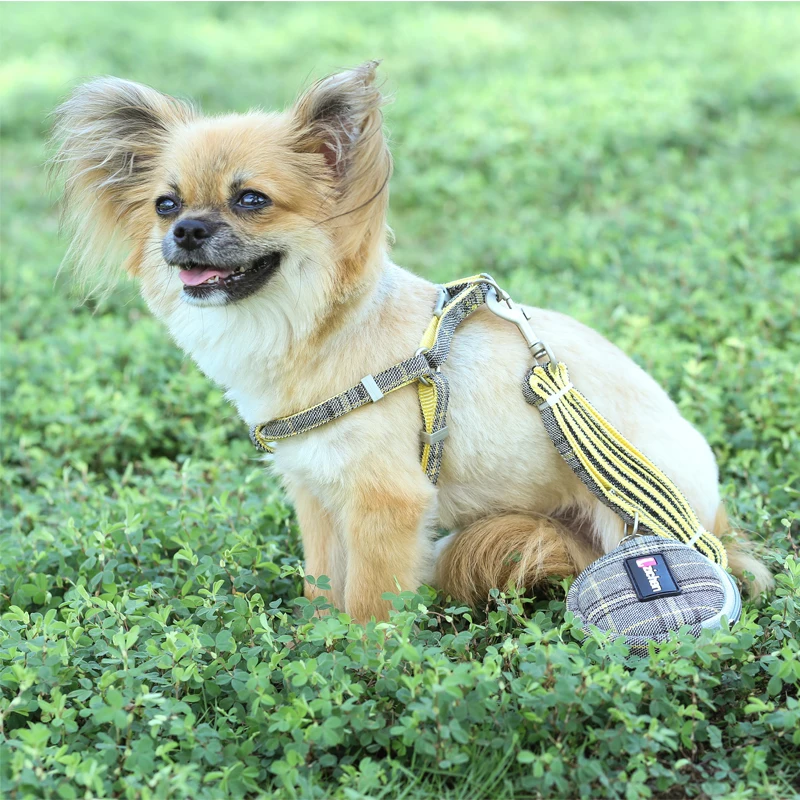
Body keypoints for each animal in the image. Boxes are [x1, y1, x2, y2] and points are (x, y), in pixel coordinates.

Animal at [51, 64, 776, 624]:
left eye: (251, 200)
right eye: (165, 206)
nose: (188, 232)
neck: (320, 333)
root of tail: (712, 523)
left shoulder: (386, 503)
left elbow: (369, 605)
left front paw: (362, 668)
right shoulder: (319, 495)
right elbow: (322, 587)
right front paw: (313, 649)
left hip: (627, 518)